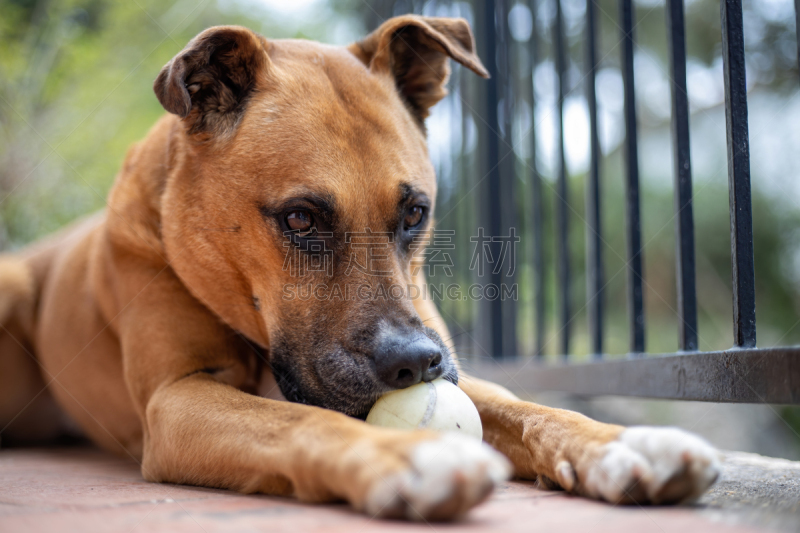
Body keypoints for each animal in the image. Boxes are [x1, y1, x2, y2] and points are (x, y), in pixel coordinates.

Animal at [0, 15, 720, 520]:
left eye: (415, 212)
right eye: (300, 219)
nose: (414, 364)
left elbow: (528, 408)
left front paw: (621, 442)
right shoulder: (177, 398)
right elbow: (305, 419)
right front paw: (404, 455)